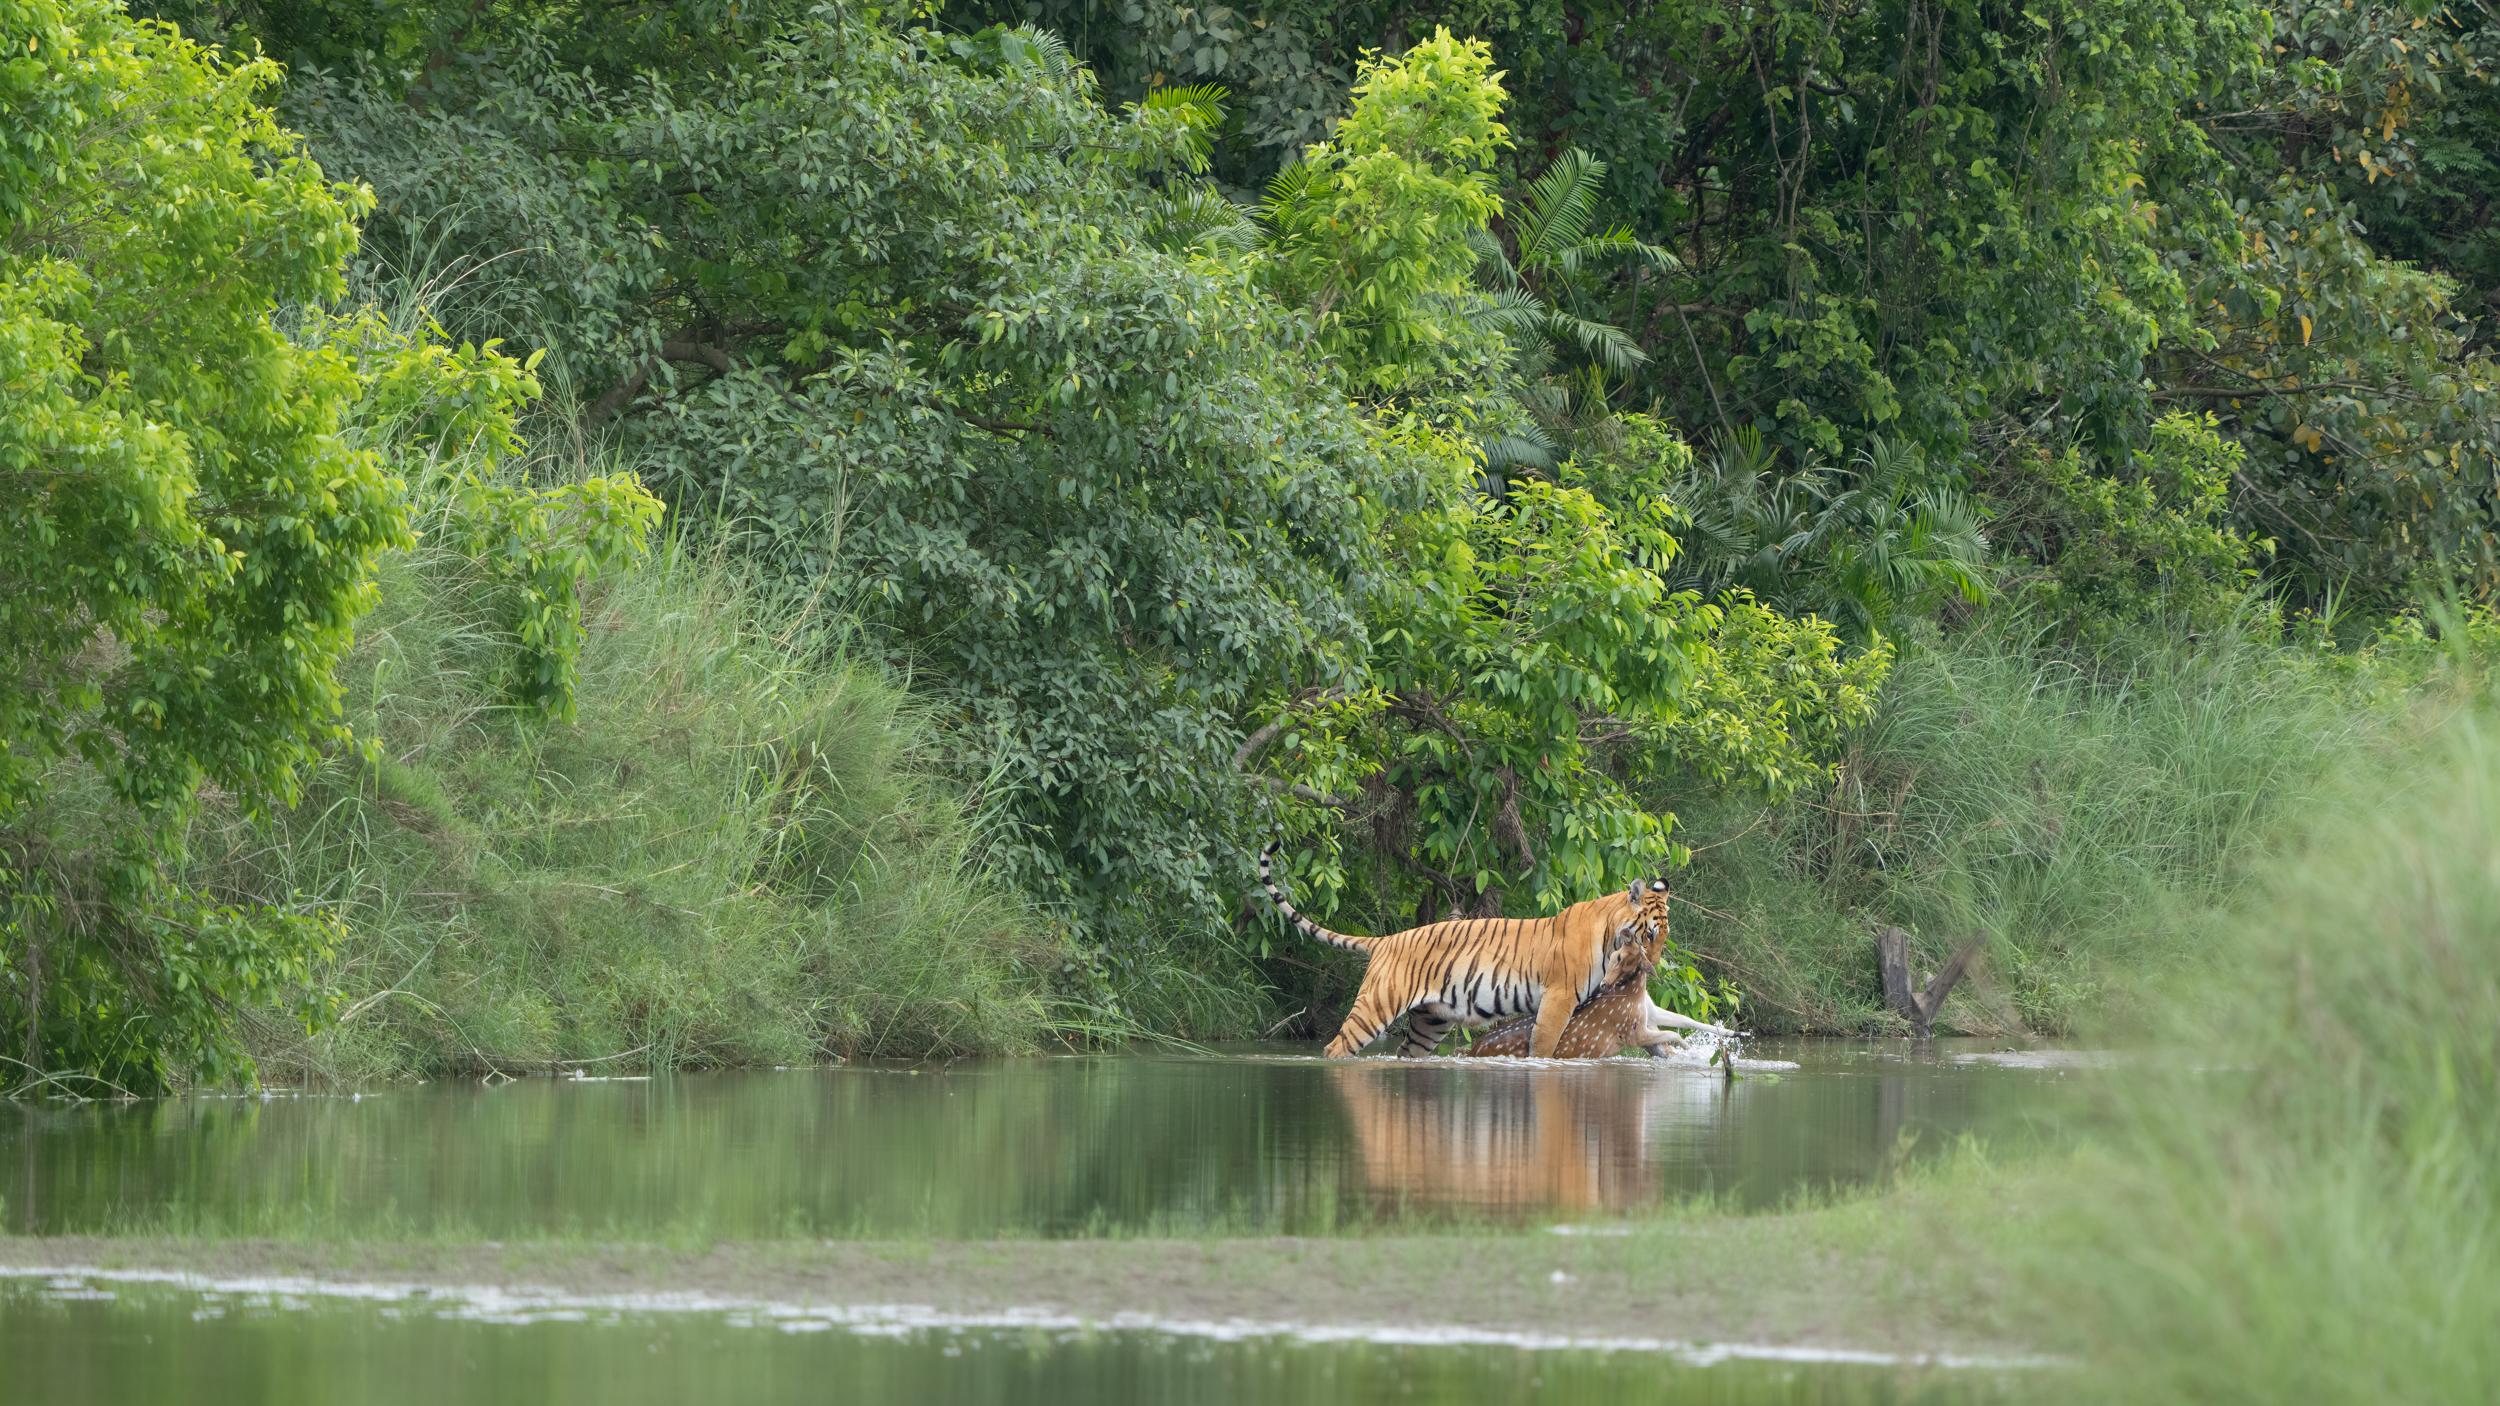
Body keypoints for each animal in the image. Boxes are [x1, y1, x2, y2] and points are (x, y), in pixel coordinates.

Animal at [1260, 835, 1670, 1055]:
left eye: (1664, 937)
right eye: (1650, 934)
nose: (1654, 967)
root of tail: (1388, 939)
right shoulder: (1558, 999)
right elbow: (1545, 1046)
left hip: (1429, 1022)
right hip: (1374, 1007)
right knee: (1336, 1047)